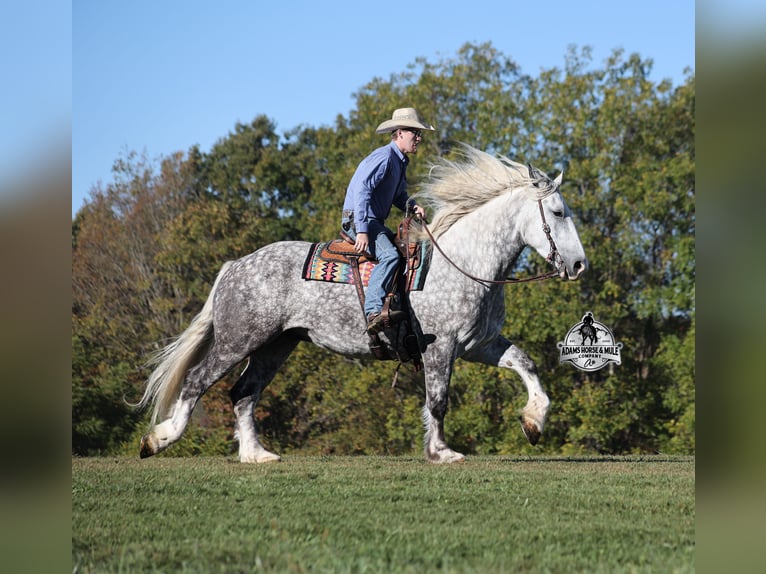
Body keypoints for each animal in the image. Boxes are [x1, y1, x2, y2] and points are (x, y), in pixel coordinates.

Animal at [136, 145, 588, 464]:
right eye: (558, 211)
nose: (579, 264)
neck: (464, 264)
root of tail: (236, 266)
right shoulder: (440, 347)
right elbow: (438, 400)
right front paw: (442, 452)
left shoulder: (479, 345)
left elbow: (527, 365)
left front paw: (533, 421)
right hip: (239, 340)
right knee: (197, 381)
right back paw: (159, 439)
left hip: (276, 345)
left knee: (244, 394)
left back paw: (256, 455)